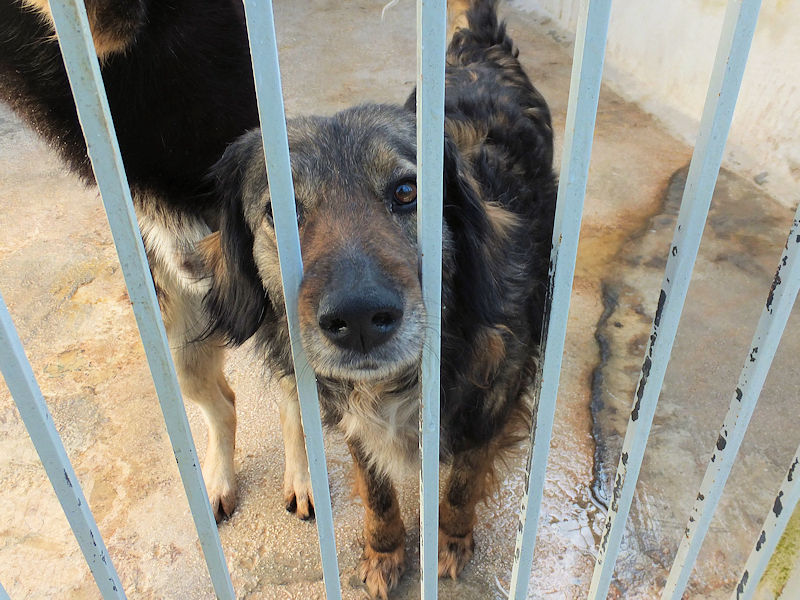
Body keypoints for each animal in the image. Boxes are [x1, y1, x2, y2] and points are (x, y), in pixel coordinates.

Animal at [199, 0, 557, 596]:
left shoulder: (493, 403)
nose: (361, 318)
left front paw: (450, 540)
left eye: (407, 191)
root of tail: (481, 45)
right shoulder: (353, 424)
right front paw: (385, 552)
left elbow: (460, 486)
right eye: (281, 211)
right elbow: (379, 494)